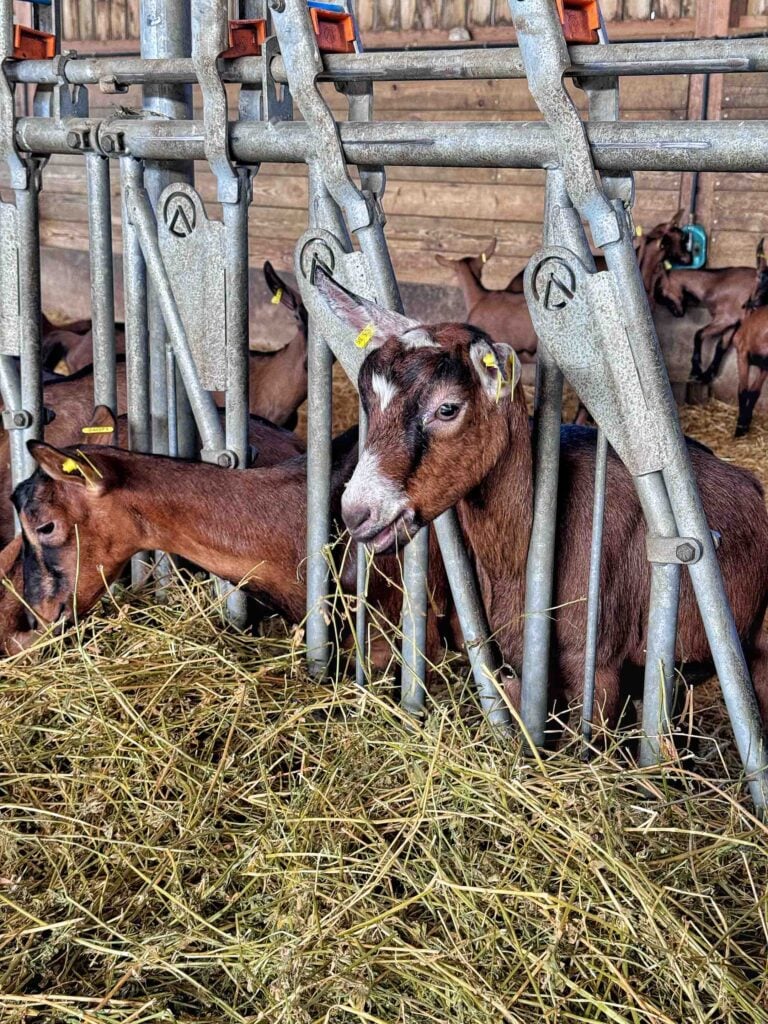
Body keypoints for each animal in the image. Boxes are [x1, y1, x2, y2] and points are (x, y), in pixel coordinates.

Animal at [313, 266, 768, 729]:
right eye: (369, 402)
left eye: (447, 408)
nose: (357, 512)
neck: (518, 560)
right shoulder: (515, 671)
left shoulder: (598, 672)